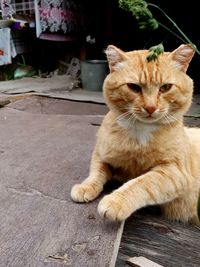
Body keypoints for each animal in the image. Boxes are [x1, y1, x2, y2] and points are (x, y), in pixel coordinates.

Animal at [71, 45, 199, 225]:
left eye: (165, 87)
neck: (140, 131)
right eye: (134, 87)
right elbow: (96, 173)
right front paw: (85, 187)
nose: (151, 108)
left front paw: (116, 202)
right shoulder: (101, 154)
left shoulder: (175, 171)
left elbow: (142, 182)